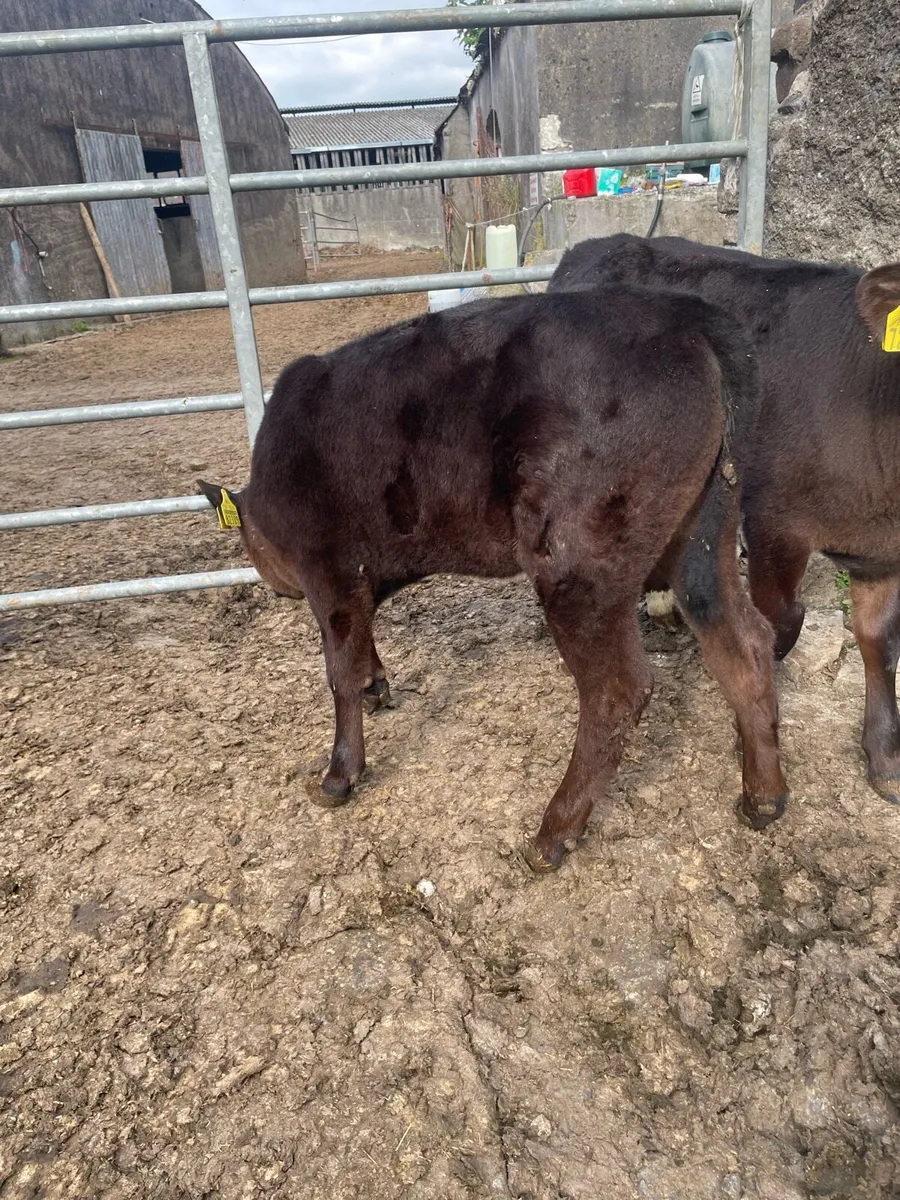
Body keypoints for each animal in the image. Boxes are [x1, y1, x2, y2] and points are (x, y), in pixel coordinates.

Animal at [198, 286, 787, 870]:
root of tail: (692, 319)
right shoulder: (359, 582)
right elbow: (362, 653)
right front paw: (378, 688)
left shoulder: (329, 573)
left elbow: (340, 673)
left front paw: (338, 776)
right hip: (704, 530)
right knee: (743, 642)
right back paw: (764, 797)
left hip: (577, 563)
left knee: (618, 689)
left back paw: (553, 833)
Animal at [548, 234, 900, 805]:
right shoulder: (775, 519)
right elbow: (781, 623)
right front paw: (752, 737)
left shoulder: (884, 548)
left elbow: (879, 641)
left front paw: (885, 758)